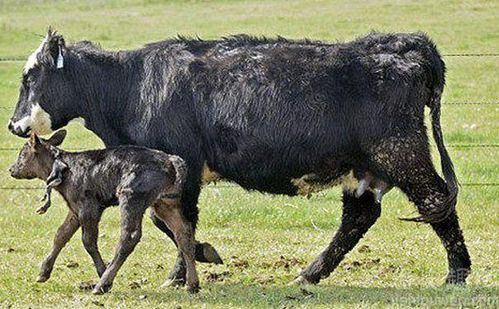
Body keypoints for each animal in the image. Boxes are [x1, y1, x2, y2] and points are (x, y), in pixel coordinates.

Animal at [8, 130, 200, 294]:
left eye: (23, 153)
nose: (11, 169)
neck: (66, 169)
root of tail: (171, 160)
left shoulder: (89, 207)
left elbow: (88, 241)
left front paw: (102, 271)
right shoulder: (75, 210)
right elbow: (61, 235)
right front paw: (43, 272)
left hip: (131, 197)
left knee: (129, 236)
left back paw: (103, 283)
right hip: (164, 203)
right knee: (183, 232)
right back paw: (192, 284)